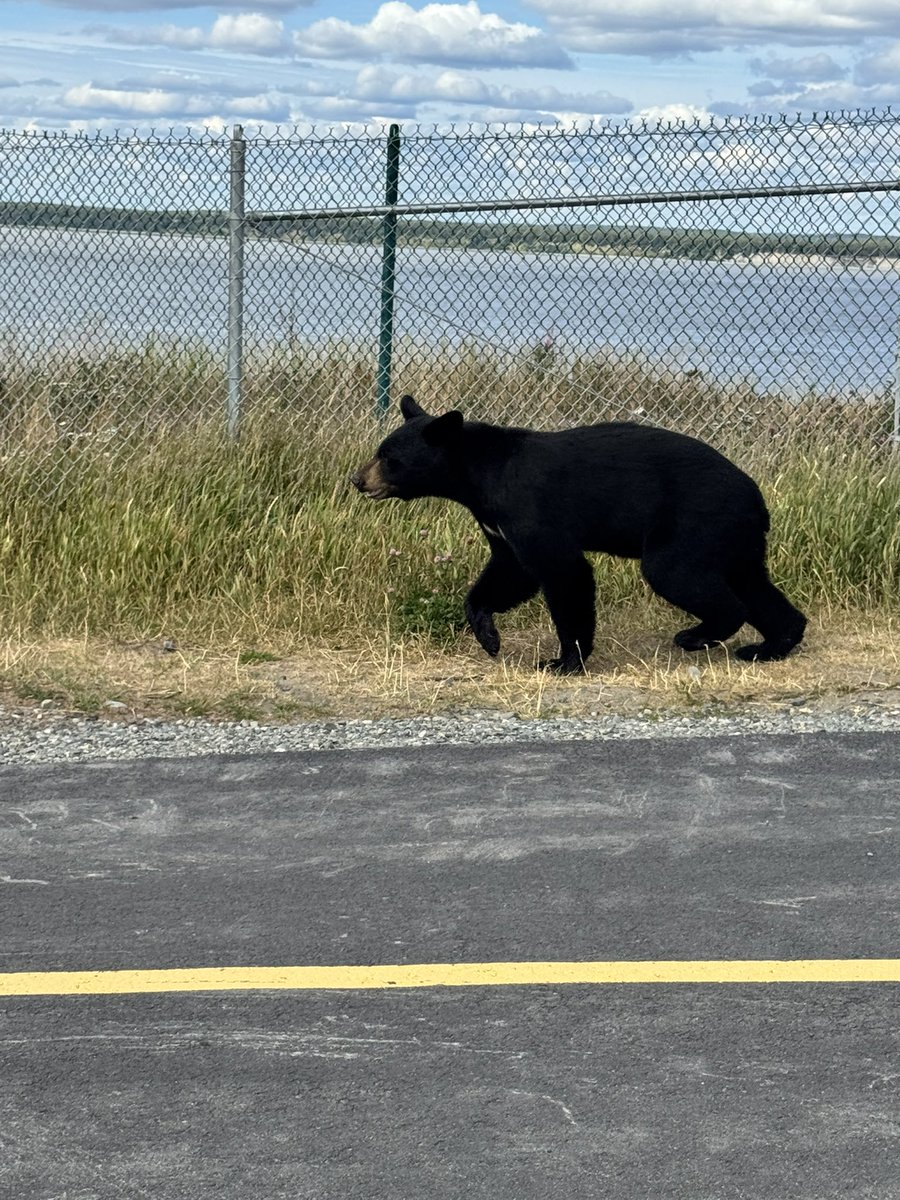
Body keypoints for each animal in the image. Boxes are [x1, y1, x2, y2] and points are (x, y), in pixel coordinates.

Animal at [351, 394, 807, 675]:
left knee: (681, 575)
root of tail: (756, 497)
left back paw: (696, 635)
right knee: (753, 584)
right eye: (380, 450)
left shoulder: (529, 509)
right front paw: (489, 637)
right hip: (732, 537)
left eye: (389, 458)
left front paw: (564, 661)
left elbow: (562, 571)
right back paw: (770, 645)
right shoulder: (498, 522)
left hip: (694, 521)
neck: (479, 477)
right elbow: (509, 572)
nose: (358, 480)